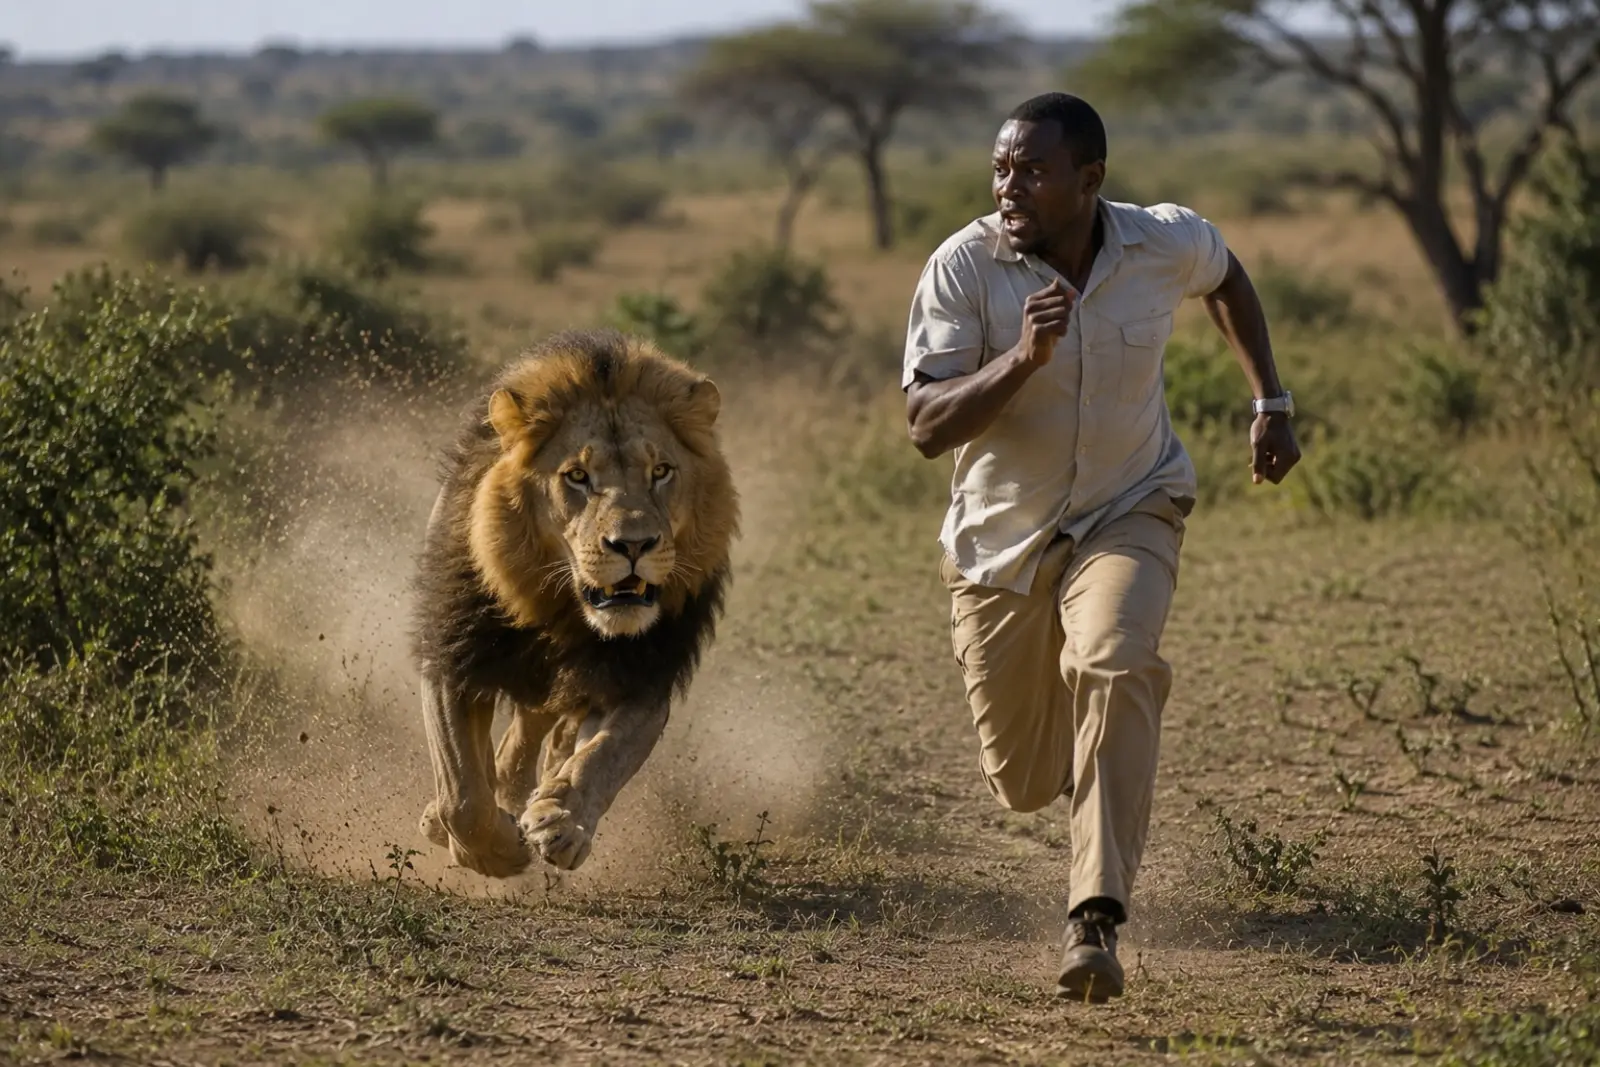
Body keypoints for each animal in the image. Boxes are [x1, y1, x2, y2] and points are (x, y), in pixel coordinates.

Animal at [410, 329, 738, 877]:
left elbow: (604, 757)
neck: (559, 611)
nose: (634, 545)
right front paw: (494, 851)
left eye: (661, 471)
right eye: (578, 477)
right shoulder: (452, 655)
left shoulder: (643, 676)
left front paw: (563, 821)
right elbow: (463, 793)